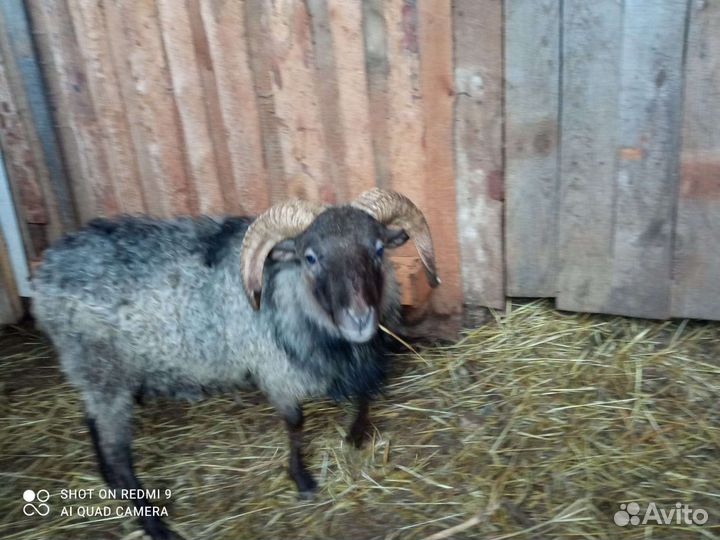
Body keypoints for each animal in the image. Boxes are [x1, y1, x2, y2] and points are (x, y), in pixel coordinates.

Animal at [31, 188, 439, 540]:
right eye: (310, 257)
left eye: (377, 249)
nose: (359, 319)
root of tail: (48, 267)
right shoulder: (274, 369)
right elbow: (295, 423)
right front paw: (302, 479)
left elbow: (364, 395)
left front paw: (355, 436)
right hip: (104, 370)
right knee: (118, 454)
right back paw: (156, 526)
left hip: (95, 372)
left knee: (93, 423)